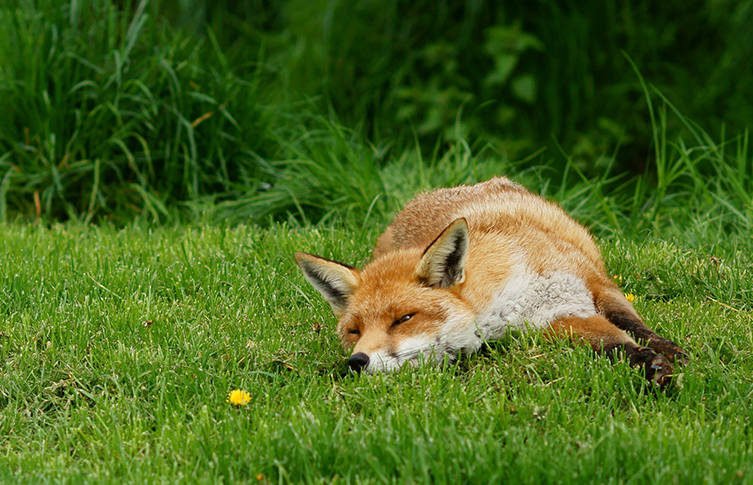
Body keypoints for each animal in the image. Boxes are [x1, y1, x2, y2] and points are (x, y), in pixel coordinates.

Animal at [295, 176, 687, 385]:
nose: (356, 361)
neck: (510, 297)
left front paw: (668, 353)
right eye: (354, 332)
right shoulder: (555, 320)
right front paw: (648, 364)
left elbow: (632, 325)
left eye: (404, 319)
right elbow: (614, 343)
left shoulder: (591, 285)